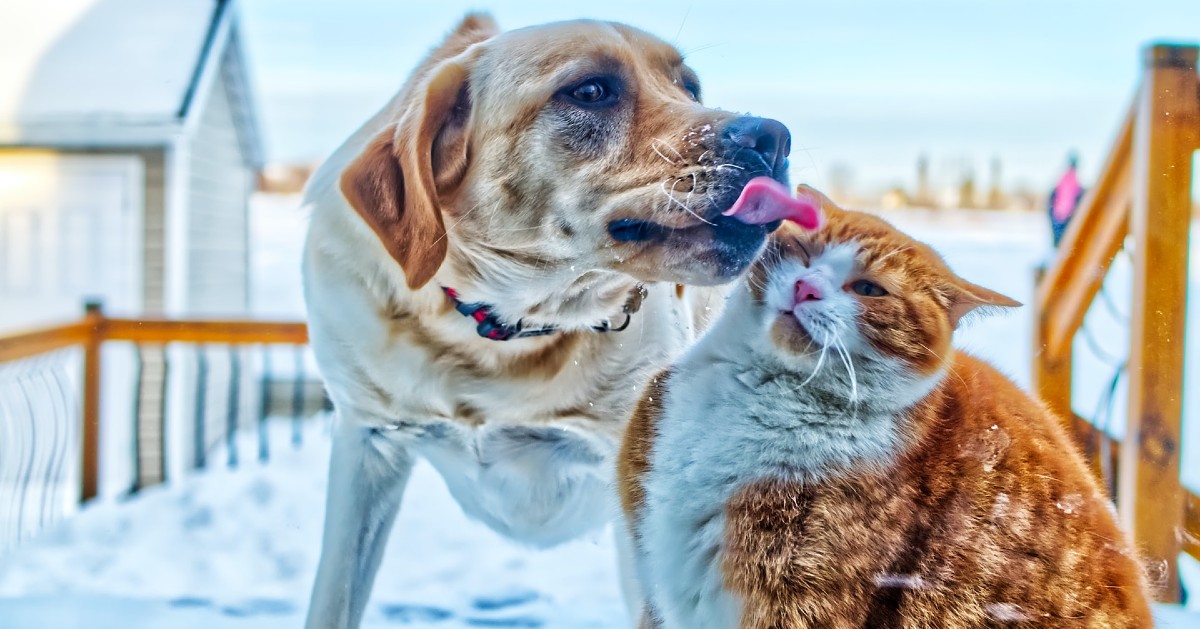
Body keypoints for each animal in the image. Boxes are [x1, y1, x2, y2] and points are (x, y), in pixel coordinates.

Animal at [302, 14, 806, 629]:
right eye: (589, 91)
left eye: (690, 87)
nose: (775, 137)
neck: (508, 334)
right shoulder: (366, 443)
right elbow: (333, 597)